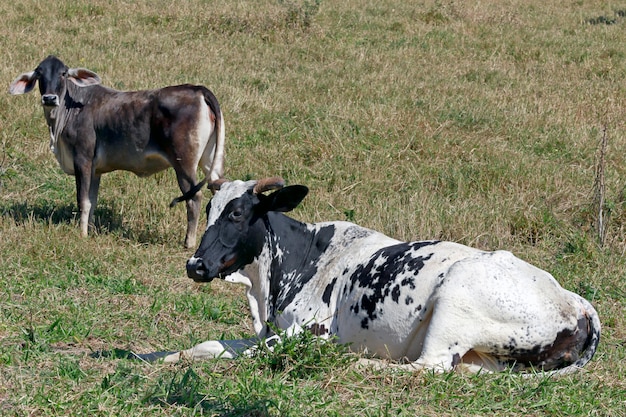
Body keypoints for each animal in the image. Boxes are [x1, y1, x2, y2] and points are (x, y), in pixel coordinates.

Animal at [9, 53, 224, 245]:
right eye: (39, 73)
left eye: (63, 73)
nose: (49, 98)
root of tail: (197, 89)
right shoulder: (95, 170)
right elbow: (92, 201)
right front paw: (90, 230)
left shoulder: (82, 159)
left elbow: (83, 200)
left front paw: (82, 235)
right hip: (210, 160)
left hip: (184, 164)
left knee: (194, 197)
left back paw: (189, 242)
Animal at [144, 177, 596, 372]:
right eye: (209, 210)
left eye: (237, 214)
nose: (195, 265)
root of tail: (574, 301)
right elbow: (209, 345)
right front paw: (152, 356)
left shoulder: (309, 330)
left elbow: (251, 353)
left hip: (455, 301)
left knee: (427, 367)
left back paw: (357, 361)